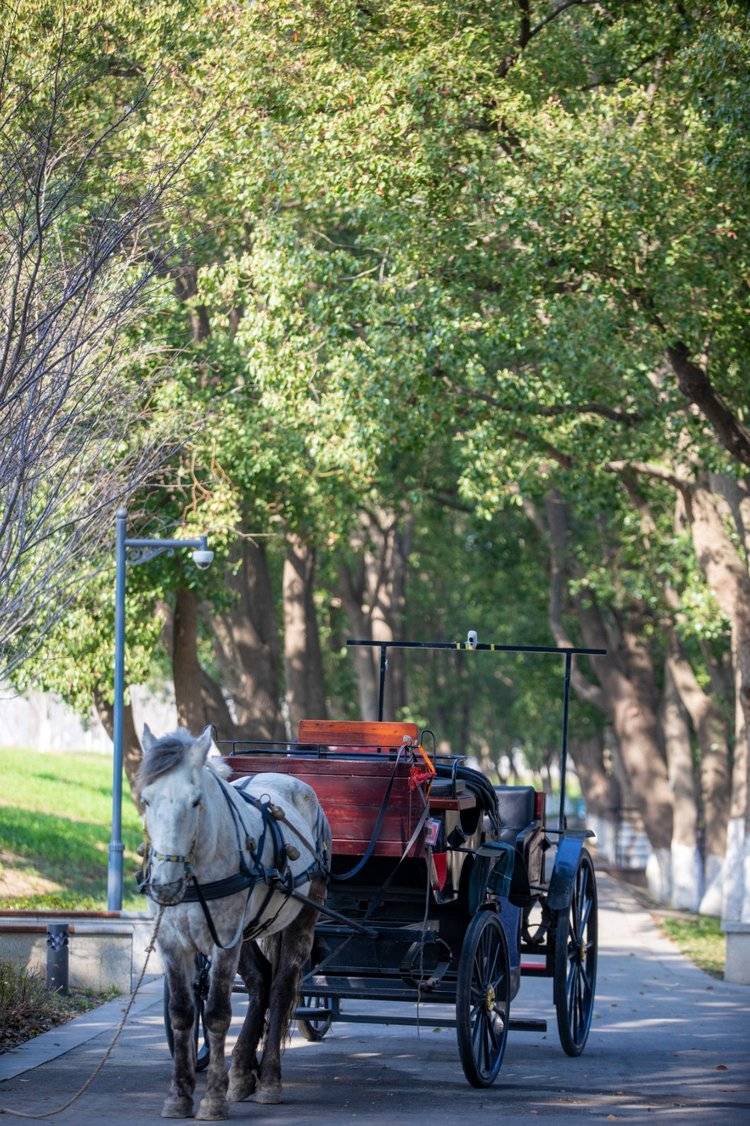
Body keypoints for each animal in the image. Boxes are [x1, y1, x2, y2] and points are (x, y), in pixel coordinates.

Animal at [137, 725, 331, 1121]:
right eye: (146, 800)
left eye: (195, 802)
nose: (165, 884)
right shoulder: (171, 942)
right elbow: (182, 1012)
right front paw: (179, 1096)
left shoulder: (224, 939)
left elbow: (215, 1014)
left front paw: (212, 1100)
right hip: (249, 933)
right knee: (260, 984)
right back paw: (242, 1072)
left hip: (301, 920)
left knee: (280, 989)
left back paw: (268, 1080)